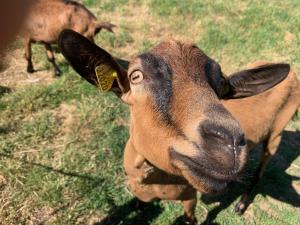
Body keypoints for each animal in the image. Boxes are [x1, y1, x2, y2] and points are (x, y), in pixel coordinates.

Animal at [58, 29, 300, 223]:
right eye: (136, 76)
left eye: (221, 84)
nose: (229, 143)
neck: (156, 182)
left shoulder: (189, 197)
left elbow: (190, 218)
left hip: (278, 129)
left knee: (263, 164)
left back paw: (242, 203)